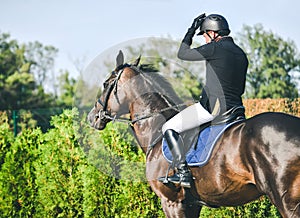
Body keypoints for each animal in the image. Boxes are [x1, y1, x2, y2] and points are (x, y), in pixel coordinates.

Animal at [88, 50, 300, 217]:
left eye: (106, 84)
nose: (92, 117)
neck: (156, 132)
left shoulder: (172, 202)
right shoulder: (192, 205)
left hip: (286, 200)